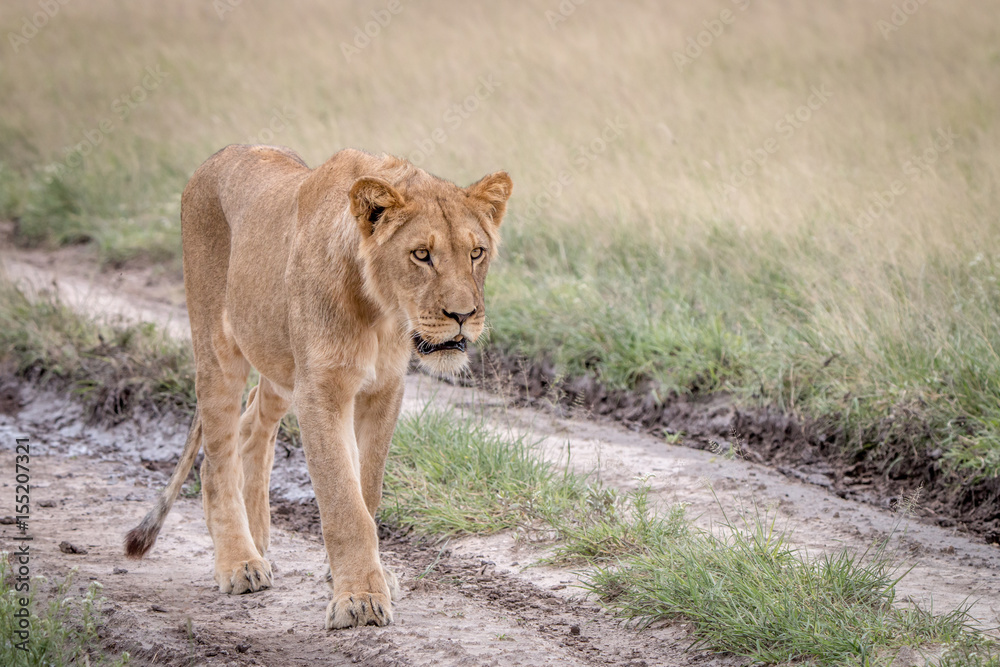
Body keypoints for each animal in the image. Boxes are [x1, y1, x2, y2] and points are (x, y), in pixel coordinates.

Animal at [124, 144, 512, 629]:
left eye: (477, 252)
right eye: (422, 255)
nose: (463, 315)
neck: (380, 313)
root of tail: (220, 154)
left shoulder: (382, 390)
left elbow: (366, 488)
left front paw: (359, 576)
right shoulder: (321, 392)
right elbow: (342, 499)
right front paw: (359, 597)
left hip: (279, 362)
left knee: (253, 425)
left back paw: (259, 538)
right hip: (217, 347)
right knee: (215, 460)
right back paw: (238, 560)